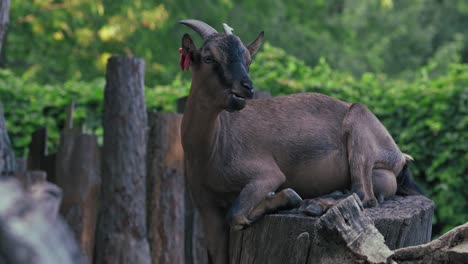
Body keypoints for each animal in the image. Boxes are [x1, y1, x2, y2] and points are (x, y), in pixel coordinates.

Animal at [178, 19, 420, 264]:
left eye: (248, 60)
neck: (213, 147)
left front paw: (286, 198)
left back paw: (314, 205)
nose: (246, 87)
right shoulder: (206, 207)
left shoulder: (266, 175)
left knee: (364, 195)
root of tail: (399, 156)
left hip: (359, 125)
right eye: (209, 58)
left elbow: (236, 214)